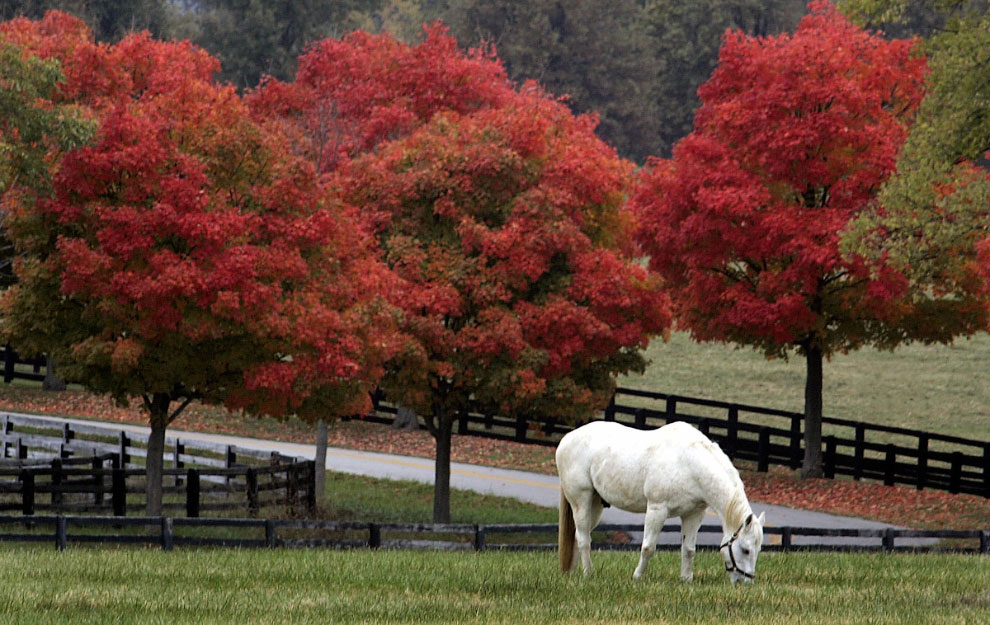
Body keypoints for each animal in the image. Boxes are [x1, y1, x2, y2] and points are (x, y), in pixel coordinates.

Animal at [560, 416, 768, 584]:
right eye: (746, 550)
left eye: (758, 550)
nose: (745, 582)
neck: (689, 463)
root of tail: (566, 439)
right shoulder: (657, 510)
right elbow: (648, 547)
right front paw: (637, 577)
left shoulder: (694, 514)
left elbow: (688, 549)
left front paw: (686, 579)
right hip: (581, 501)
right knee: (584, 538)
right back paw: (588, 573)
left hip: (595, 505)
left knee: (580, 535)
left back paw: (574, 572)